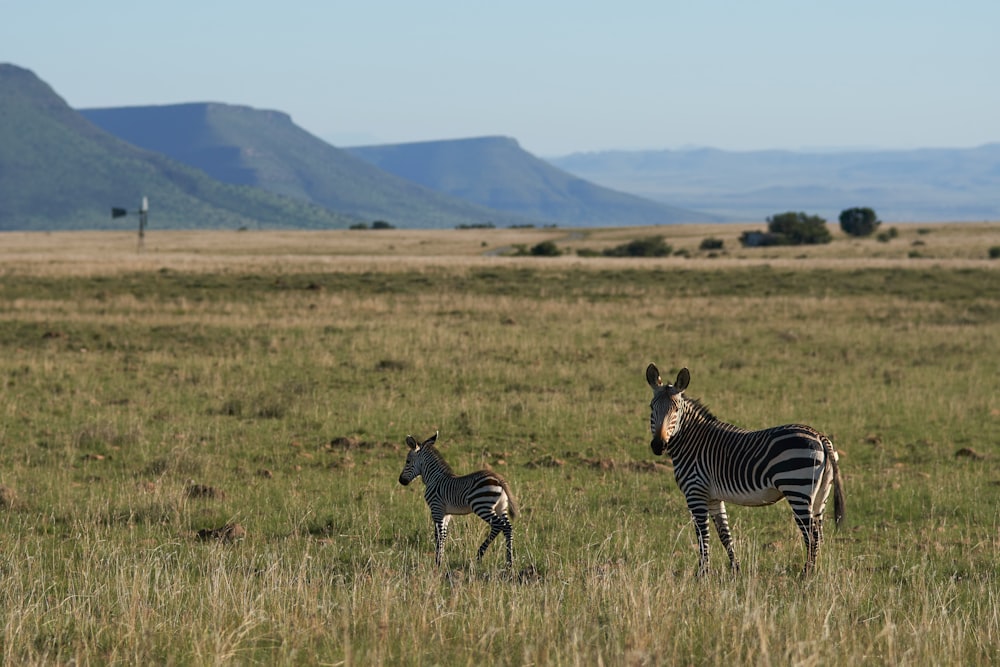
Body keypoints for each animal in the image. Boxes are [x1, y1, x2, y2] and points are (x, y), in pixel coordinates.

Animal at [396, 434, 516, 568]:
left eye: (407, 461)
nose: (401, 480)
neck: (434, 478)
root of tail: (498, 478)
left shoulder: (436, 508)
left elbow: (438, 535)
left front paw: (438, 562)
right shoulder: (446, 513)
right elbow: (443, 535)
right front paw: (440, 560)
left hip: (481, 506)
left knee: (499, 525)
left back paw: (484, 555)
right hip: (501, 507)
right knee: (508, 528)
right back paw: (508, 562)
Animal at [648, 362, 844, 576]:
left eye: (676, 410)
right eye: (651, 408)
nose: (658, 446)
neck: (692, 442)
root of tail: (819, 436)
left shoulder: (695, 493)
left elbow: (703, 536)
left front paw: (702, 574)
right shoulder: (713, 497)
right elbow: (724, 534)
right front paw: (735, 569)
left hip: (797, 489)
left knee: (811, 534)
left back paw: (806, 573)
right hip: (820, 494)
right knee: (819, 533)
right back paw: (817, 571)